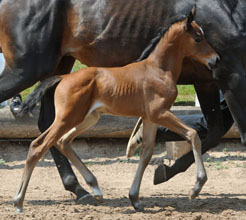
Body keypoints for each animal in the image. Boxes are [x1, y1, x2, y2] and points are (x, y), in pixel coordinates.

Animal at [13, 7, 219, 212]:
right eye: (198, 38)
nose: (216, 59)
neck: (158, 70)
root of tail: (64, 77)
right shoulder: (160, 113)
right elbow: (193, 134)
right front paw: (196, 188)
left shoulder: (150, 118)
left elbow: (146, 153)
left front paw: (135, 199)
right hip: (68, 118)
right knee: (39, 146)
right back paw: (18, 201)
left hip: (88, 118)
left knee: (62, 141)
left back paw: (95, 189)